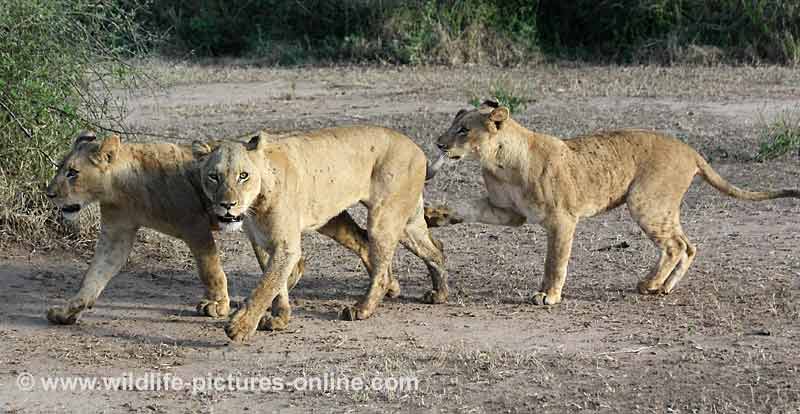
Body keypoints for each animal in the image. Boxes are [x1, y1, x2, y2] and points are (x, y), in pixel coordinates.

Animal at [43, 131, 400, 326]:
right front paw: (67, 311)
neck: (121, 189)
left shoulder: (194, 225)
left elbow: (209, 268)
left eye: (72, 172)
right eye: (61, 168)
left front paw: (216, 305)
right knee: (359, 241)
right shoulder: (116, 233)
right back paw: (388, 287)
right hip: (327, 218)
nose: (49, 193)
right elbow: (95, 276)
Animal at [191, 126, 446, 342]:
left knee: (382, 268)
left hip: (384, 217)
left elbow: (265, 286)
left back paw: (362, 308)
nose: (227, 205)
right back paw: (438, 293)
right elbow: (275, 282)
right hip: (397, 223)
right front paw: (279, 317)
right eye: (213, 176)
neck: (255, 204)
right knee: (435, 249)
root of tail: (417, 149)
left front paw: (241, 327)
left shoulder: (286, 245)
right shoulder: (263, 243)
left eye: (243, 175)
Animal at [428, 101, 796, 304]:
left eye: (463, 129)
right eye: (451, 125)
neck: (496, 162)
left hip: (645, 201)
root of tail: (691, 150)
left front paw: (548, 296)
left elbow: (554, 261)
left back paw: (649, 283)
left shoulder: (562, 218)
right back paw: (663, 288)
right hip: (662, 207)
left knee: (675, 245)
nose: (439, 144)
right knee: (689, 246)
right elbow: (466, 206)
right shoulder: (508, 212)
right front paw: (434, 215)